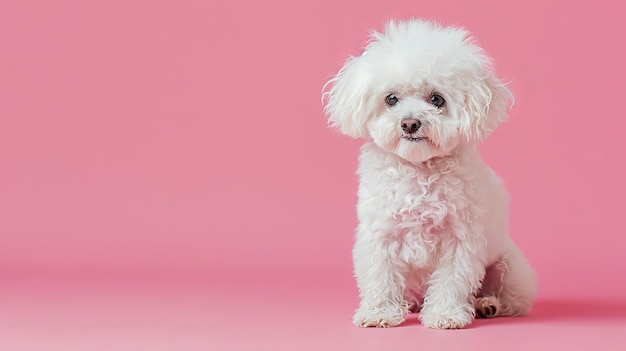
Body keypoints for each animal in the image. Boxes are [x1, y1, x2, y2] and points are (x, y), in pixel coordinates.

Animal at [322, 19, 536, 328]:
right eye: (391, 98)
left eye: (437, 99)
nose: (410, 123)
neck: (418, 170)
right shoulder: (381, 236)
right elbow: (381, 277)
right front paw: (379, 312)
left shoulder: (460, 239)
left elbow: (452, 280)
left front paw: (446, 314)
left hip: (509, 267)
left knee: (511, 297)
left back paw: (486, 304)